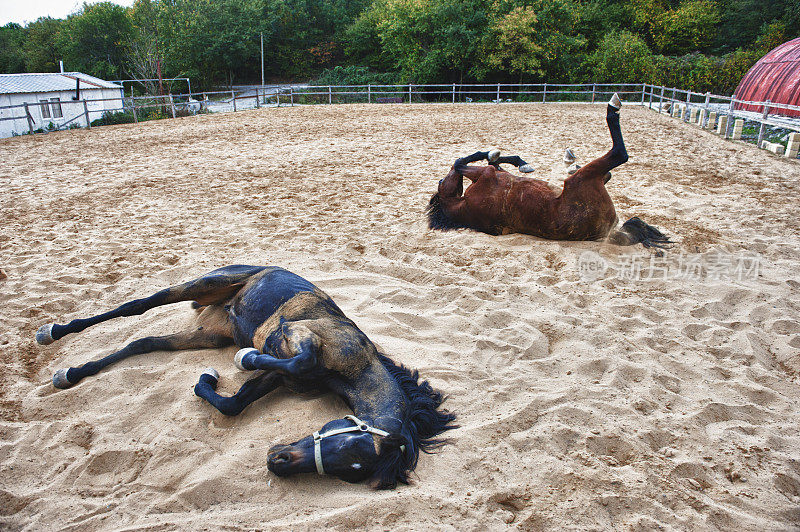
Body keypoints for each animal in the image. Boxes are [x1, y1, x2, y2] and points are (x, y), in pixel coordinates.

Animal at [36, 264, 456, 488]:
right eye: (350, 442)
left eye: (352, 471)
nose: (279, 461)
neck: (356, 367)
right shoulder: (297, 335)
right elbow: (299, 359)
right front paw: (245, 357)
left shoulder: (278, 377)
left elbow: (235, 403)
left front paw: (207, 380)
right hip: (208, 283)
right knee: (138, 305)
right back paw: (52, 333)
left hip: (207, 333)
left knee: (143, 342)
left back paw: (70, 373)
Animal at [428, 93, 672, 247]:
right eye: (442, 182)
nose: (442, 179)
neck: (464, 206)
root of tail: (610, 231)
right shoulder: (487, 176)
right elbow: (462, 161)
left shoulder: (493, 174)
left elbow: (488, 162)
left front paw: (516, 161)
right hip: (582, 181)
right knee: (619, 154)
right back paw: (612, 108)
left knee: (609, 170)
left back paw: (573, 162)